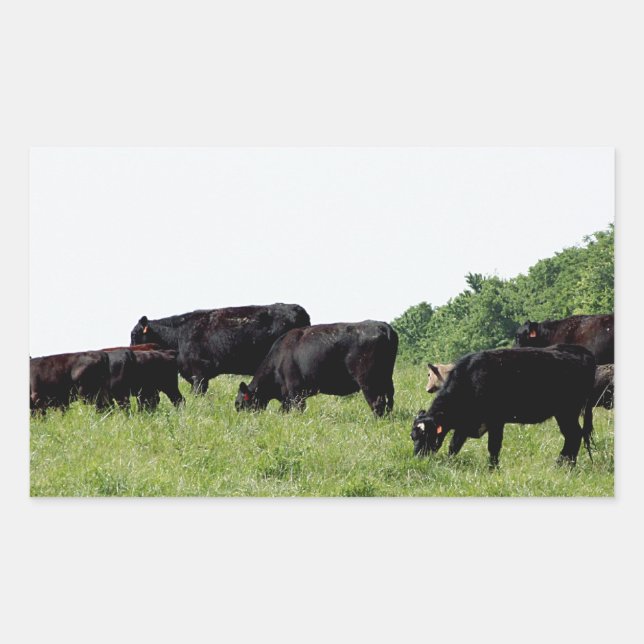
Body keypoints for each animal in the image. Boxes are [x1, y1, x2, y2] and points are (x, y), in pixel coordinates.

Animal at [235, 321, 398, 415]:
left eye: (239, 404)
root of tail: (382, 325)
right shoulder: (287, 396)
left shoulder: (295, 391)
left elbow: (298, 409)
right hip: (386, 378)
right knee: (389, 400)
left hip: (368, 380)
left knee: (377, 402)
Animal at [410, 344, 596, 468]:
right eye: (413, 436)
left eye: (426, 435)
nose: (417, 458)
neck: (470, 379)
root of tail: (579, 350)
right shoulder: (465, 424)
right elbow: (454, 446)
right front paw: (450, 463)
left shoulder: (496, 421)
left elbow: (493, 446)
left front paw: (493, 469)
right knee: (573, 436)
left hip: (567, 411)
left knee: (574, 435)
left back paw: (563, 465)